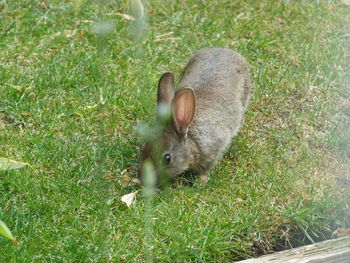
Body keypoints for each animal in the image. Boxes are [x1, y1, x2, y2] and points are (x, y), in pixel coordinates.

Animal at [138, 48, 253, 186]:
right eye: (143, 146)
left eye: (167, 158)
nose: (142, 179)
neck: (190, 139)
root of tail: (228, 51)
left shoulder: (213, 150)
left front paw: (201, 181)